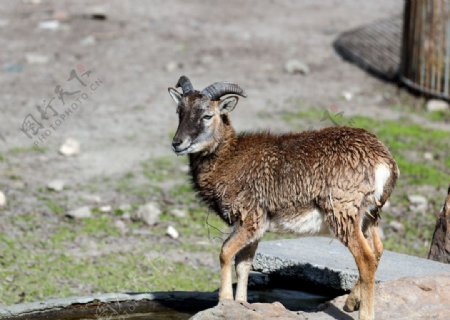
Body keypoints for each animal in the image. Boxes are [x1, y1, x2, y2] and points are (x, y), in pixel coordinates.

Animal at [168, 75, 398, 320]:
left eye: (207, 115)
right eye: (179, 111)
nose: (178, 143)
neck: (229, 159)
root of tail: (383, 162)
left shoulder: (250, 219)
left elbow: (225, 252)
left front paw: (225, 301)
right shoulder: (256, 229)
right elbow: (243, 264)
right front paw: (241, 303)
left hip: (343, 214)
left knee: (365, 258)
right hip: (369, 217)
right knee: (377, 250)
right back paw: (351, 303)